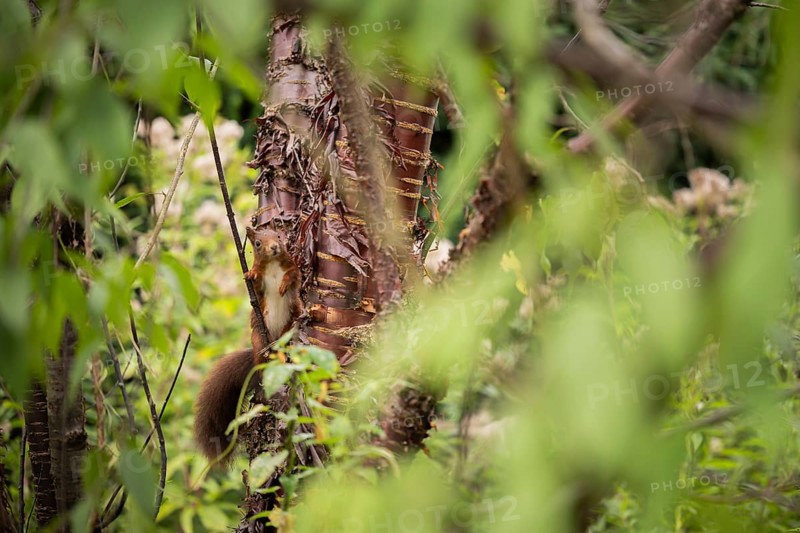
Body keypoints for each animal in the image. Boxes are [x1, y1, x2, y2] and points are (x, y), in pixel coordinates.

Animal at [194, 226, 303, 464]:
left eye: (278, 236)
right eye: (258, 243)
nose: (275, 247)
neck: (273, 264)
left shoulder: (293, 267)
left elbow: (293, 275)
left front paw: (283, 284)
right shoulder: (259, 289)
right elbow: (257, 285)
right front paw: (251, 275)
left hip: (287, 329)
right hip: (258, 338)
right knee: (262, 360)